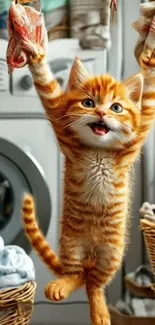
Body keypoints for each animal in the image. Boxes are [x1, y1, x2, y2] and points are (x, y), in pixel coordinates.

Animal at [21, 50, 155, 324]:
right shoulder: (60, 122)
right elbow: (46, 86)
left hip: (111, 253)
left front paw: (149, 64)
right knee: (78, 275)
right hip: (72, 244)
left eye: (116, 107)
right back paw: (65, 284)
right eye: (89, 103)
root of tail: (91, 258)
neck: (98, 151)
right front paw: (34, 53)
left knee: (94, 283)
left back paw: (100, 310)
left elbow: (148, 102)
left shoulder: (136, 136)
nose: (102, 113)